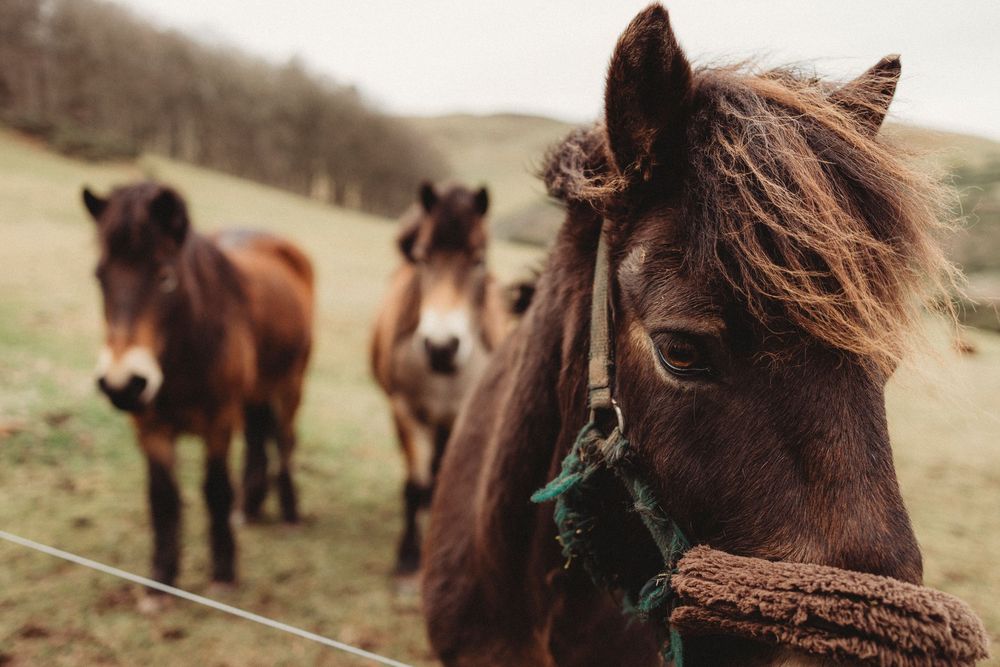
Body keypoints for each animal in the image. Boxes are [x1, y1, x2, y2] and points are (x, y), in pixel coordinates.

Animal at [83, 182, 313, 593]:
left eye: (165, 276)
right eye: (99, 276)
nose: (122, 383)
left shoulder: (219, 422)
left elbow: (215, 490)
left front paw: (223, 573)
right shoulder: (149, 427)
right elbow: (163, 497)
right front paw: (161, 580)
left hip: (290, 385)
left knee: (285, 442)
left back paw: (289, 513)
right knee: (259, 438)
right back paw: (249, 508)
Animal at [371, 181, 511, 574]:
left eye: (478, 260)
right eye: (423, 257)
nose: (441, 347)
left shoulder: (459, 419)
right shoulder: (405, 411)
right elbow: (414, 484)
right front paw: (407, 555)